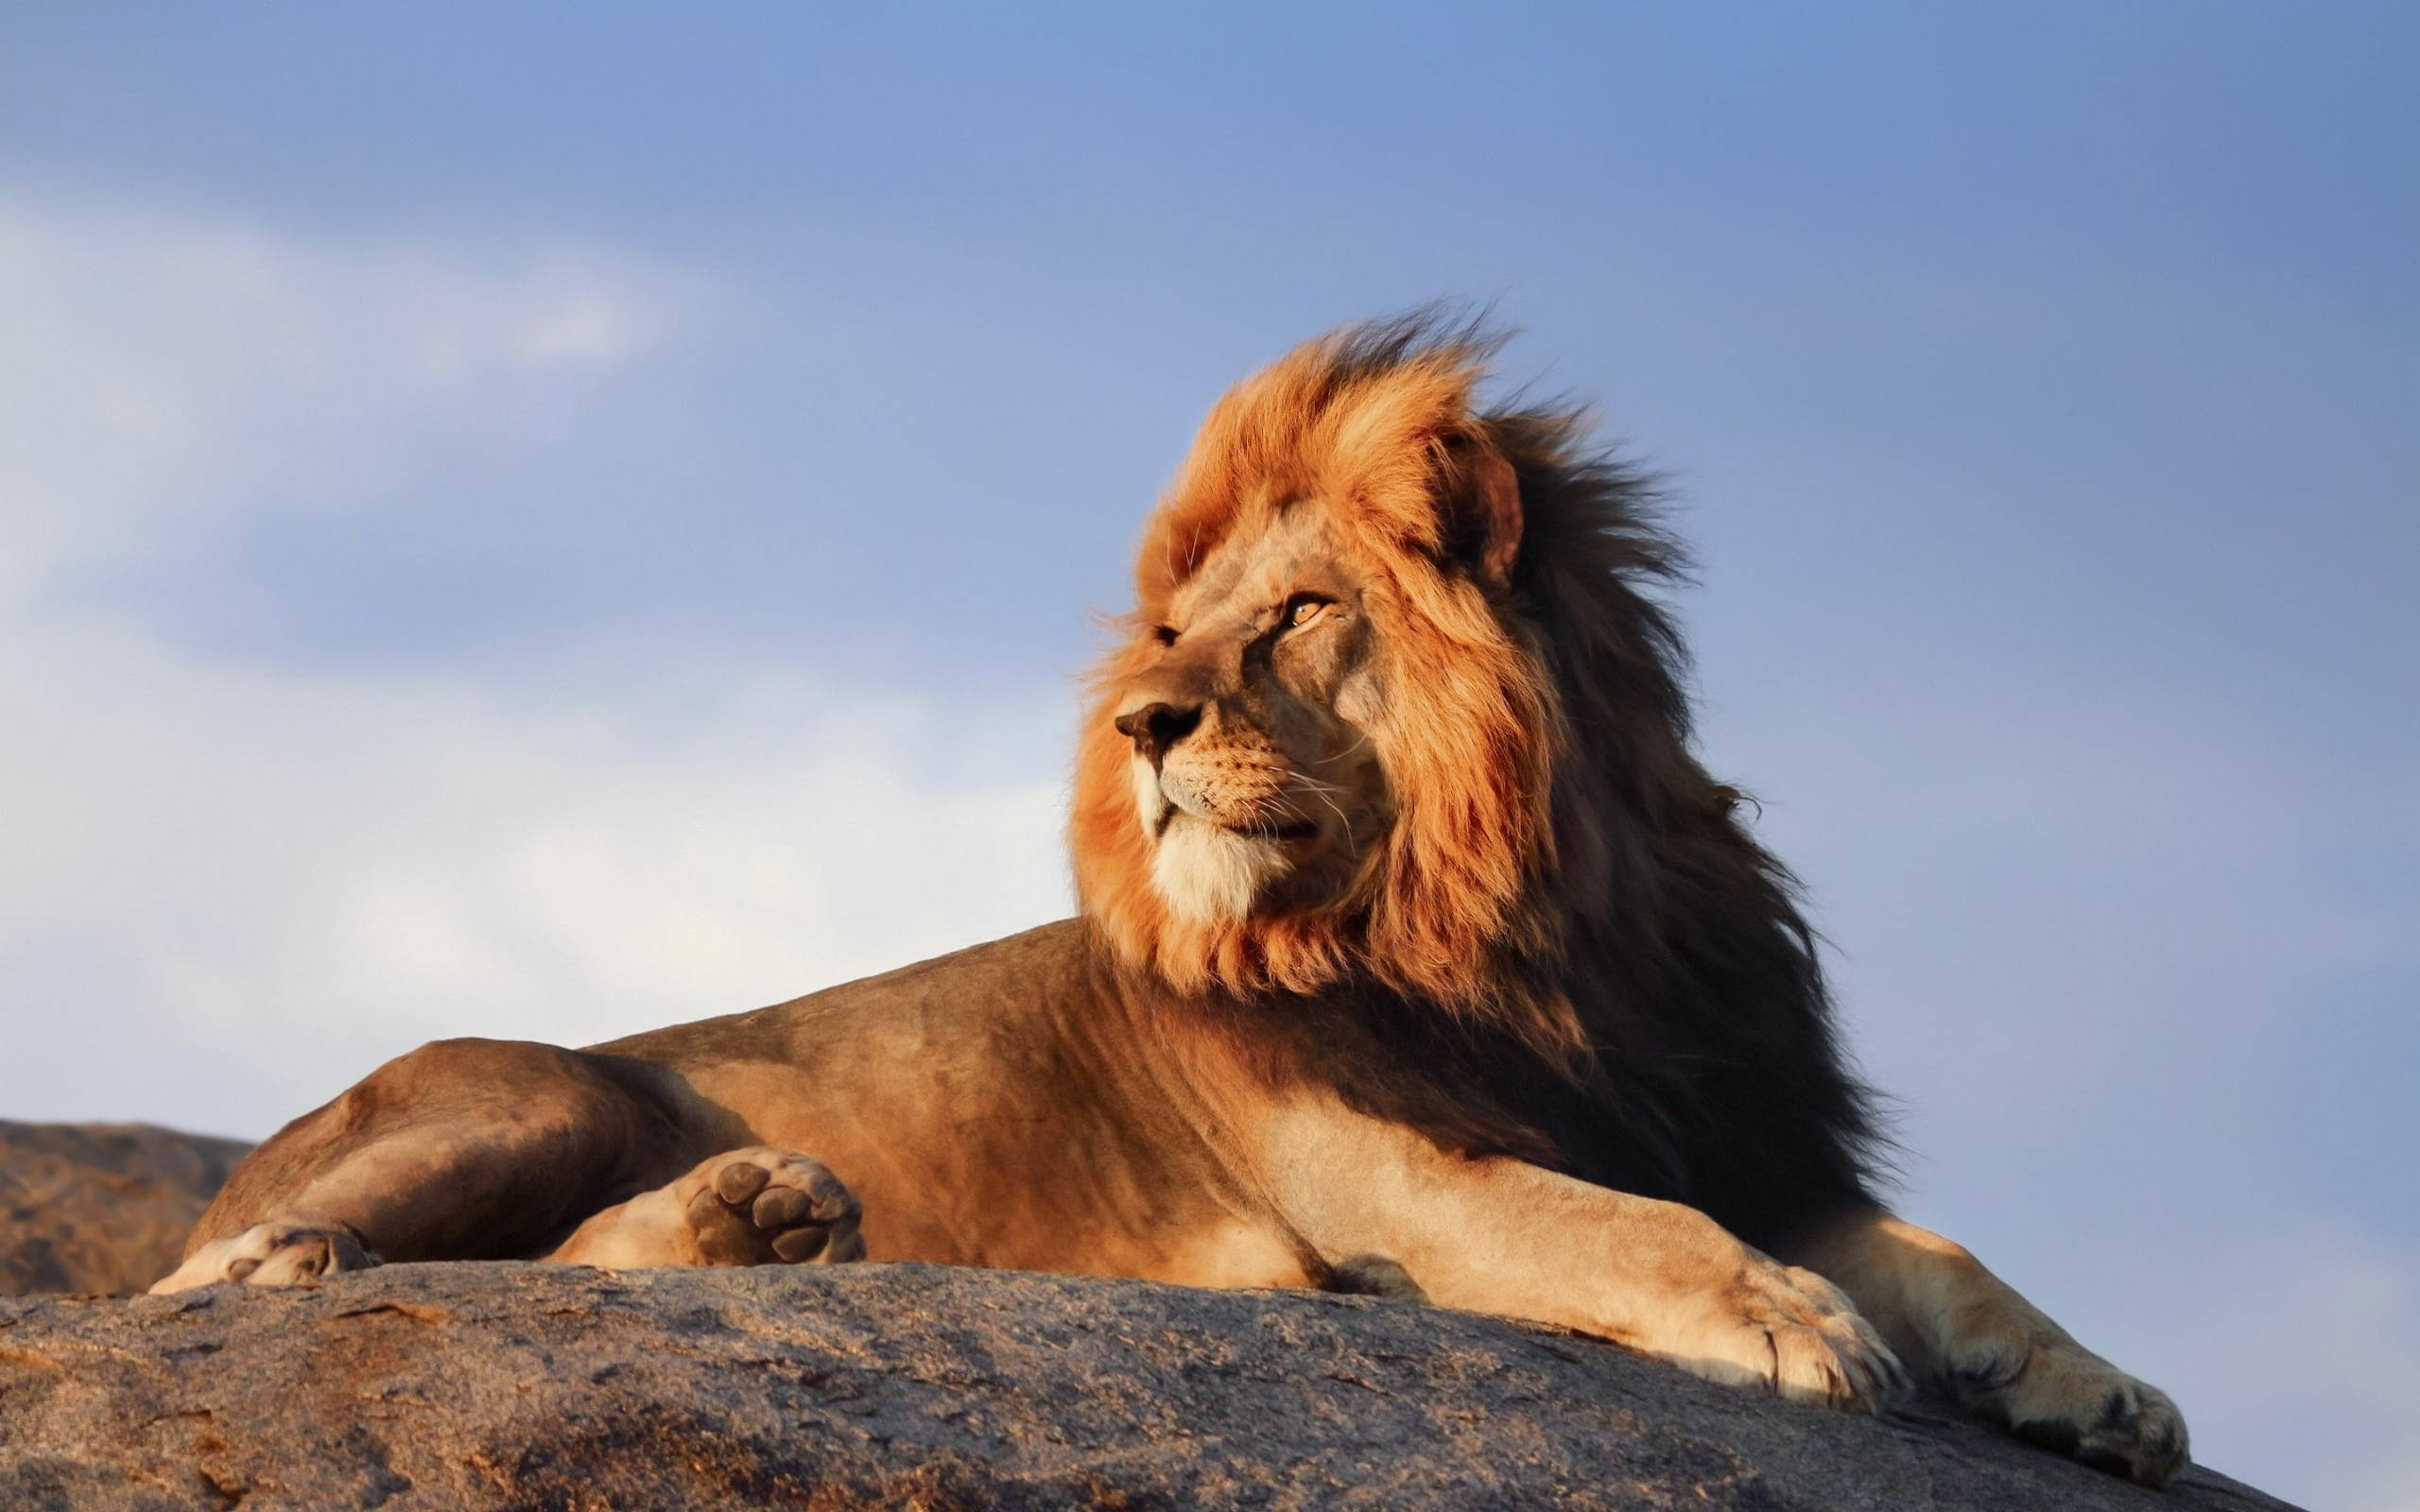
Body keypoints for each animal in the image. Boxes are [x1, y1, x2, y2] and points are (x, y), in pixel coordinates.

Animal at [156, 315, 2188, 1485]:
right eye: (1168, 641)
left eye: (1292, 615)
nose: (1143, 725)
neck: (1528, 934)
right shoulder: (1382, 1175)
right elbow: (1622, 1227)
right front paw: (1791, 1324)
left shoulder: (1740, 1125)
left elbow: (1945, 1252)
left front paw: (2104, 1392)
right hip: (537, 1091)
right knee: (228, 1273)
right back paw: (303, 1258)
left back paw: (764, 1221)